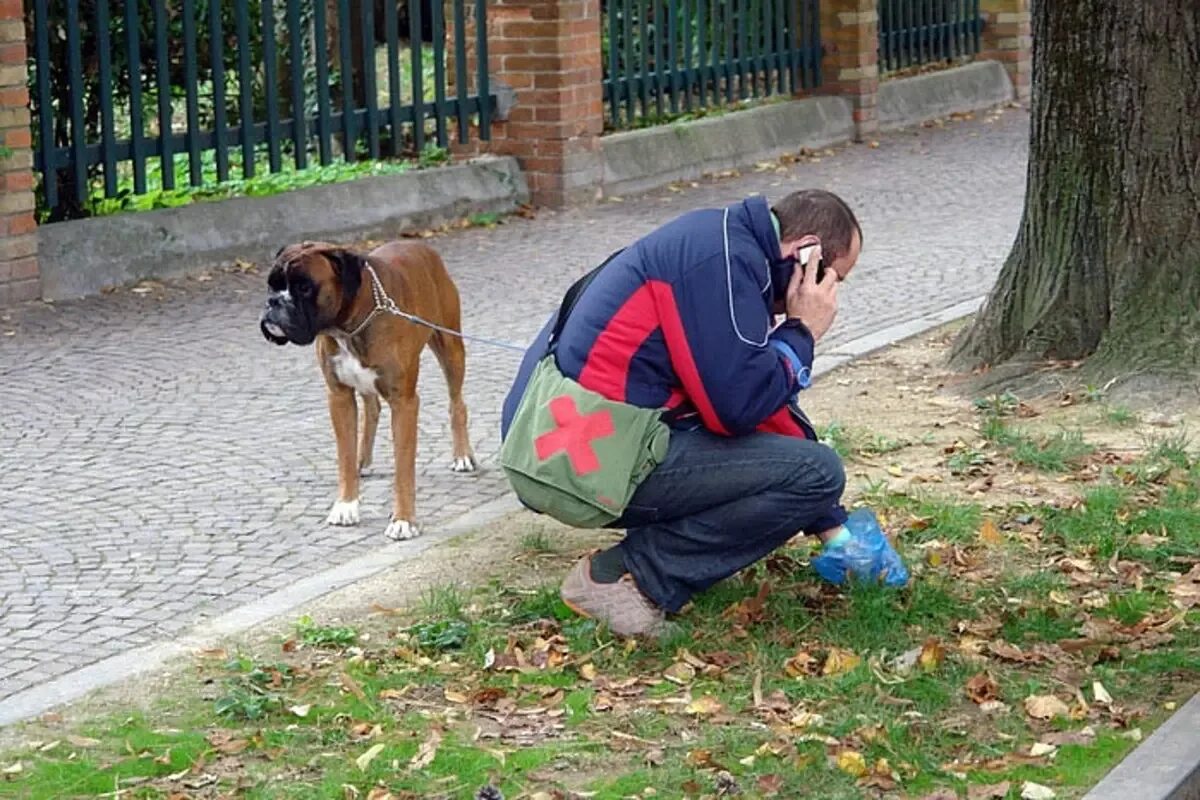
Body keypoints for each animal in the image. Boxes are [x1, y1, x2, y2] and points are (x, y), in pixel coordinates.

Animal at [260, 237, 475, 537]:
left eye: (304, 287)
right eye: (271, 284)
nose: (273, 302)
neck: (349, 327)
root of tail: (421, 246)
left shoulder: (404, 402)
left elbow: (403, 467)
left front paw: (403, 520)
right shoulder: (339, 397)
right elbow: (345, 456)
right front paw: (346, 505)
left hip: (451, 349)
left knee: (457, 403)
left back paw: (463, 455)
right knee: (372, 408)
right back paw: (363, 460)